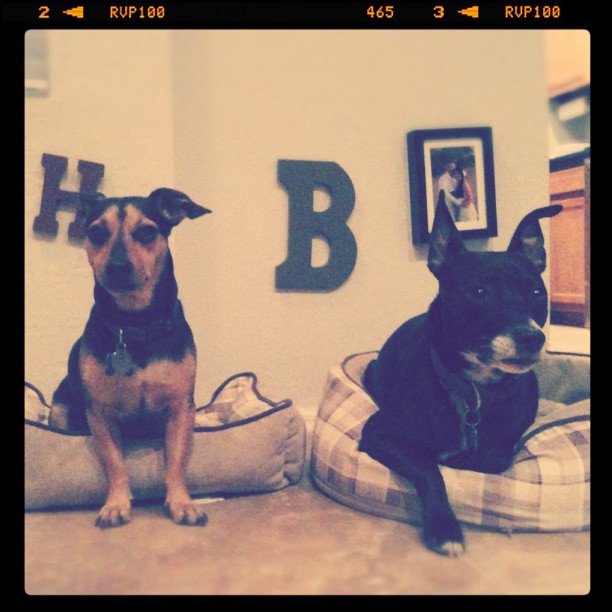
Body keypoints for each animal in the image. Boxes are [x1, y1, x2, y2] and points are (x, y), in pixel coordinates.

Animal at [48, 186, 210, 524]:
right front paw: (116, 505)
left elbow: (176, 462)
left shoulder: (180, 407)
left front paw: (182, 502)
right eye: (96, 232)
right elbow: (115, 463)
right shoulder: (100, 413)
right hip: (58, 410)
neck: (135, 325)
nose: (117, 267)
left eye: (147, 231)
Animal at [360, 195, 560, 556]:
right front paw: (445, 528)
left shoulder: (502, 450)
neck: (475, 392)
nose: (532, 338)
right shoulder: (378, 434)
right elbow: (429, 468)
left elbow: (489, 458)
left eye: (537, 292)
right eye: (478, 292)